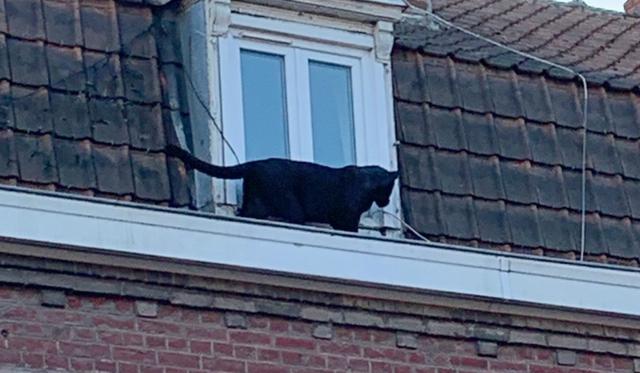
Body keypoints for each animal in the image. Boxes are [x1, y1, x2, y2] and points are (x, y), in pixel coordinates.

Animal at [166, 145, 396, 230]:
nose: (386, 202)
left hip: (256, 204)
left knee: (246, 213)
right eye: (390, 190)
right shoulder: (347, 217)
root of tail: (255, 164)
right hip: (292, 208)